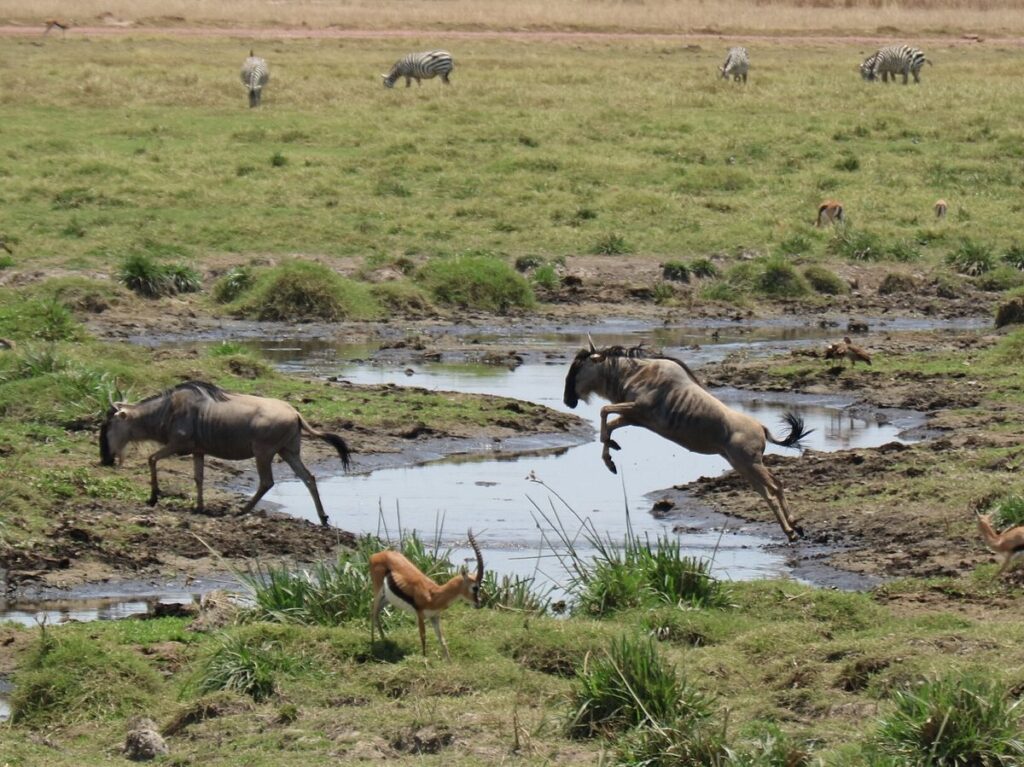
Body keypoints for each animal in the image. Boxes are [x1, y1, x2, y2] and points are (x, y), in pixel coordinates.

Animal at [372, 528, 483, 659]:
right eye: (475, 587)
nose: (478, 603)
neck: (434, 595)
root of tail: (376, 555)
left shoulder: (435, 617)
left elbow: (442, 641)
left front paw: (449, 661)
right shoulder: (420, 615)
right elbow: (423, 637)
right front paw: (425, 659)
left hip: (386, 598)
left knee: (377, 612)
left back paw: (384, 641)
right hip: (378, 591)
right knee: (373, 611)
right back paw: (373, 643)